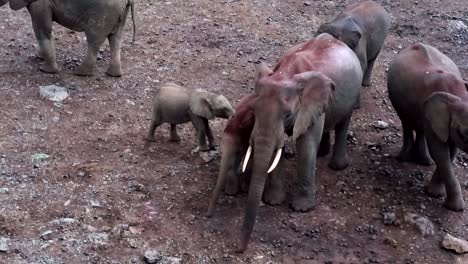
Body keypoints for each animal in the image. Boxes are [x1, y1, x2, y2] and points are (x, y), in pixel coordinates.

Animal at [1, 0, 137, 77]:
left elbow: (42, 29)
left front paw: (45, 70)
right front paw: (39, 57)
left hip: (103, 13)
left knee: (94, 40)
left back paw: (81, 73)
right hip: (120, 14)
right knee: (116, 39)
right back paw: (114, 74)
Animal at [211, 33, 362, 252]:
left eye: (288, 114)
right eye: (253, 111)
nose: (239, 249)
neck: (286, 74)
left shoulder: (311, 106)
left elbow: (306, 145)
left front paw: (301, 209)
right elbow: (279, 149)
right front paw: (273, 201)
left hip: (353, 92)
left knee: (343, 122)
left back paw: (338, 166)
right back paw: (322, 154)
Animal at [388, 43, 468, 212]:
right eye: (463, 135)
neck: (458, 94)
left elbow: (450, 152)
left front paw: (434, 193)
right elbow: (440, 151)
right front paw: (454, 207)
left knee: (419, 128)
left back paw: (426, 162)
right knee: (406, 122)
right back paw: (404, 159)